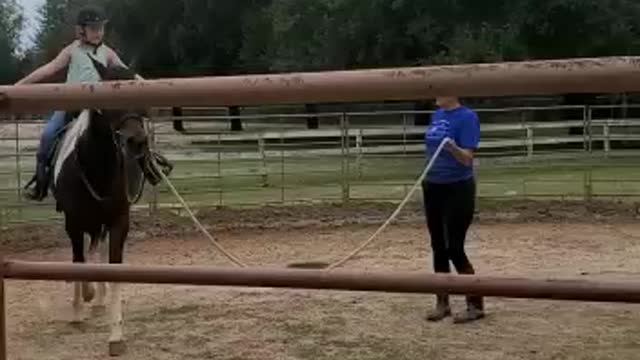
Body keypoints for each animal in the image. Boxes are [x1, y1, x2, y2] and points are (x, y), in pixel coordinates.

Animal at [52, 57, 156, 356]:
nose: (137, 141)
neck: (95, 168)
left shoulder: (119, 222)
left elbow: (112, 270)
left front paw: (116, 337)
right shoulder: (73, 224)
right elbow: (78, 262)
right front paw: (79, 309)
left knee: (95, 249)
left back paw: (97, 301)